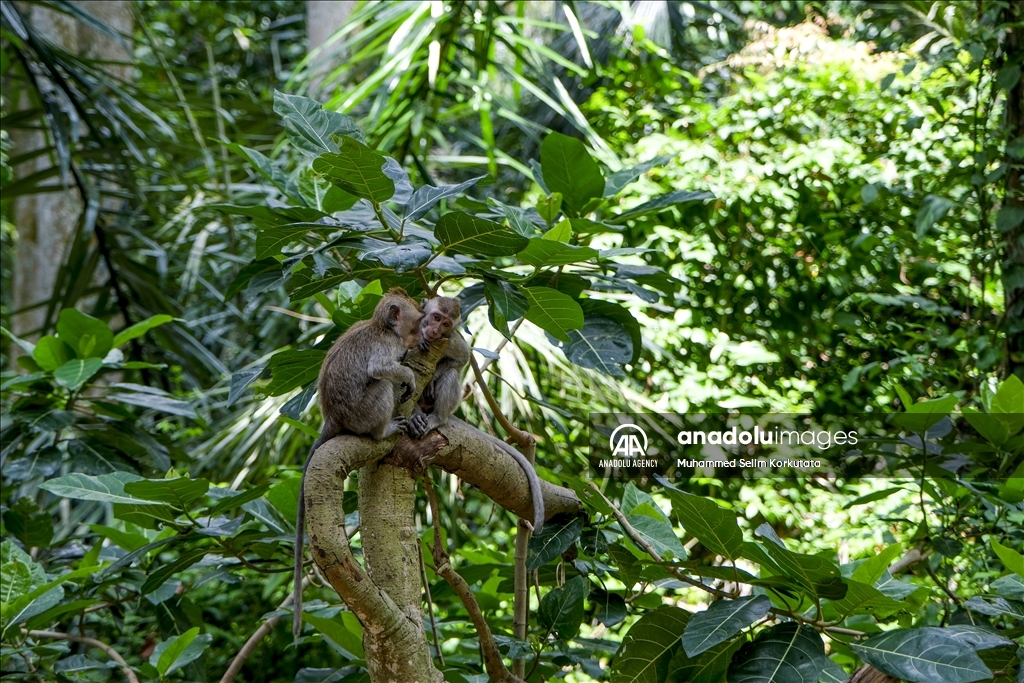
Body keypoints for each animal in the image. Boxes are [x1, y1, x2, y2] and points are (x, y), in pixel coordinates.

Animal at [292, 286, 423, 634]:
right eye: (418, 322)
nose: (419, 338)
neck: (383, 327)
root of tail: (333, 419)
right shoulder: (387, 345)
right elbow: (380, 368)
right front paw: (408, 374)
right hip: (363, 412)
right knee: (381, 384)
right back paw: (383, 430)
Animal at [409, 296, 548, 532]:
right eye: (436, 317)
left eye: (446, 324)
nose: (436, 330)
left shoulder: (451, 339)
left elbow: (462, 358)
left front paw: (434, 377)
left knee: (451, 373)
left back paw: (437, 417)